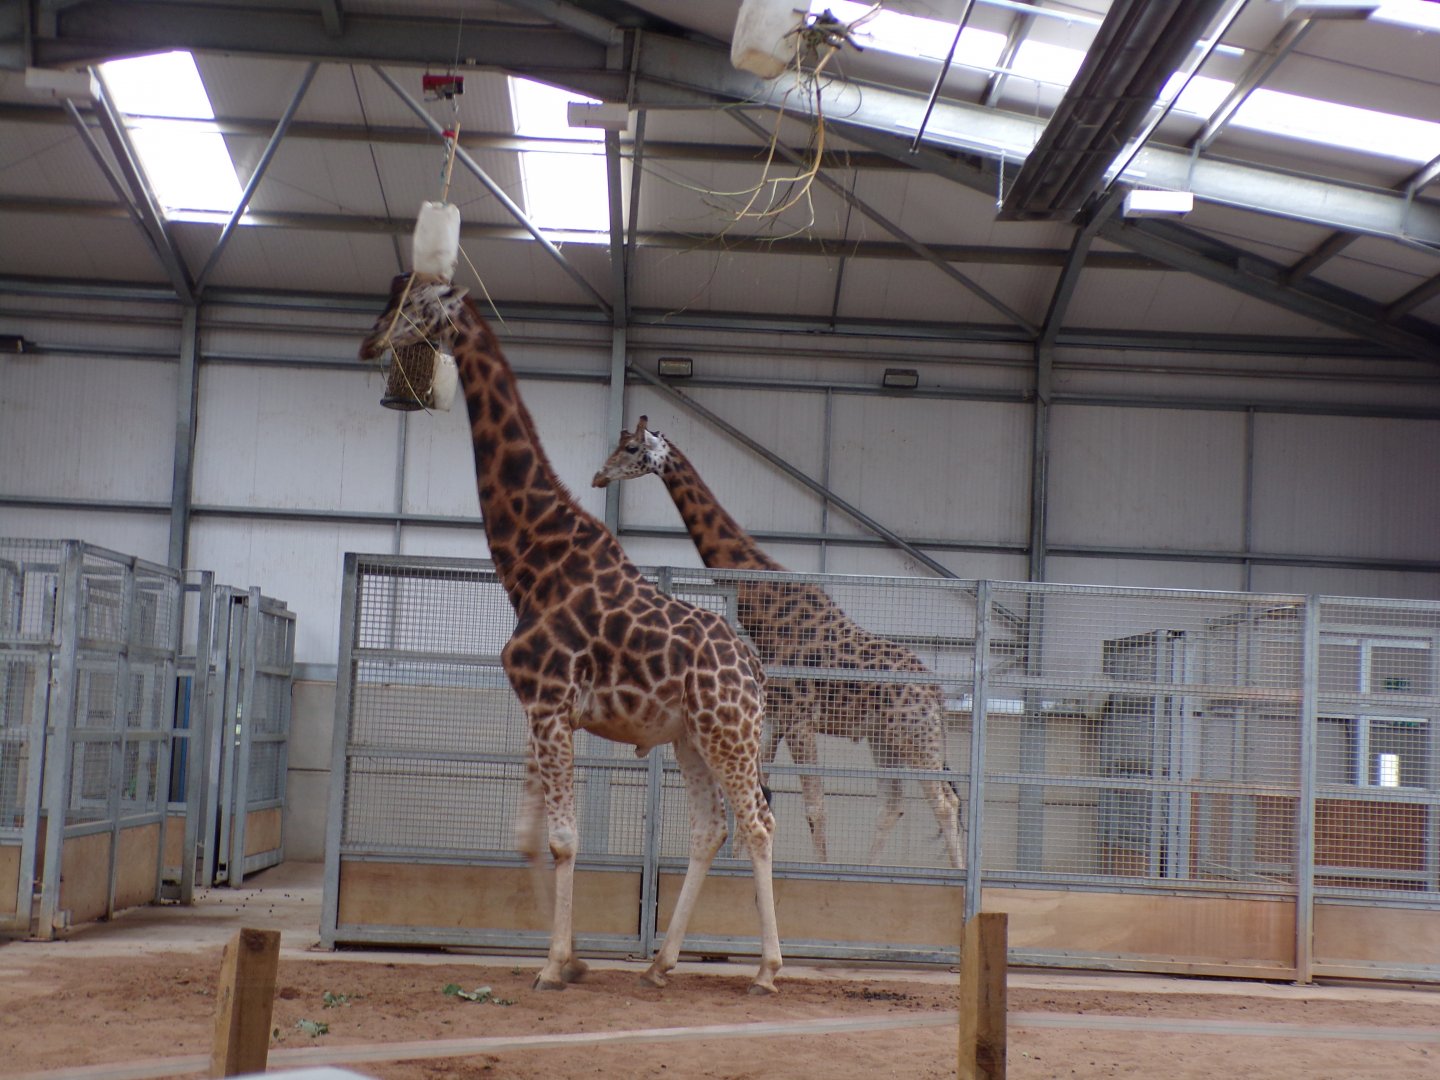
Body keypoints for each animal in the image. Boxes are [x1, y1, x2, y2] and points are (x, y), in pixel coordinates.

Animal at [359, 277, 782, 995]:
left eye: (417, 300)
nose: (369, 341)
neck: (531, 562)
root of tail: (751, 669)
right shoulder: (538, 707)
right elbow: (528, 837)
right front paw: (575, 955)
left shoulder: (551, 703)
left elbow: (562, 839)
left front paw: (554, 965)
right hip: (692, 737)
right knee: (710, 827)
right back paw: (662, 963)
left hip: (729, 733)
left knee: (757, 824)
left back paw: (768, 970)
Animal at [593, 416, 963, 869]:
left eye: (630, 448)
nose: (598, 476)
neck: (765, 602)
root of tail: (937, 693)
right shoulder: (774, 715)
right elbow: (759, 794)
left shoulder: (800, 716)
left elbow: (814, 805)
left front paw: (818, 871)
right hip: (884, 737)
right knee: (893, 804)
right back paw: (868, 870)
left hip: (915, 734)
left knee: (943, 800)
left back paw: (959, 879)